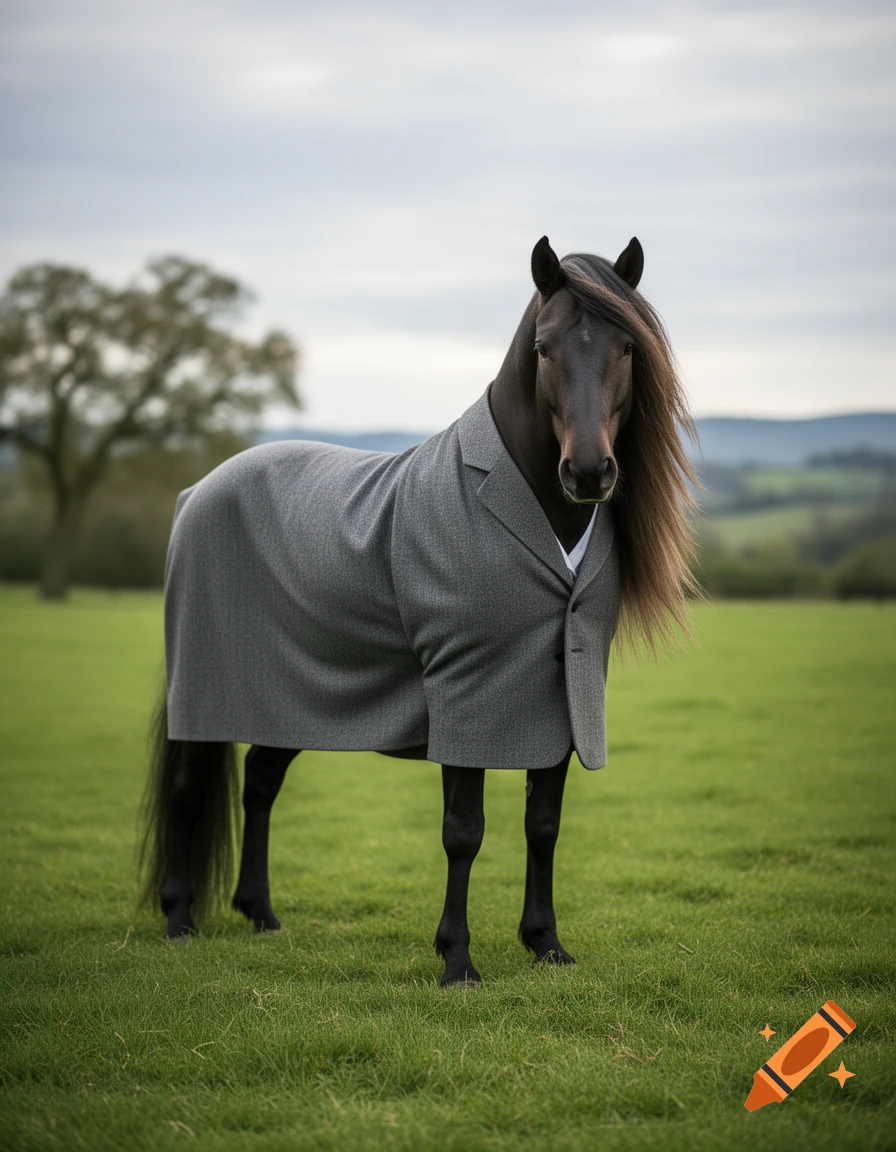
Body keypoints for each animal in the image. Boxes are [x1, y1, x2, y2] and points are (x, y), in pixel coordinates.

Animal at [139, 236, 698, 987]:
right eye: (545, 348)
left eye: (628, 347)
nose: (587, 473)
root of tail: (197, 491)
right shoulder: (465, 691)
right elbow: (463, 833)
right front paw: (456, 958)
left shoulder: (561, 697)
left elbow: (542, 824)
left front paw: (545, 944)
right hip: (204, 692)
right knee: (186, 788)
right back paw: (179, 920)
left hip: (290, 695)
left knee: (259, 783)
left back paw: (261, 913)